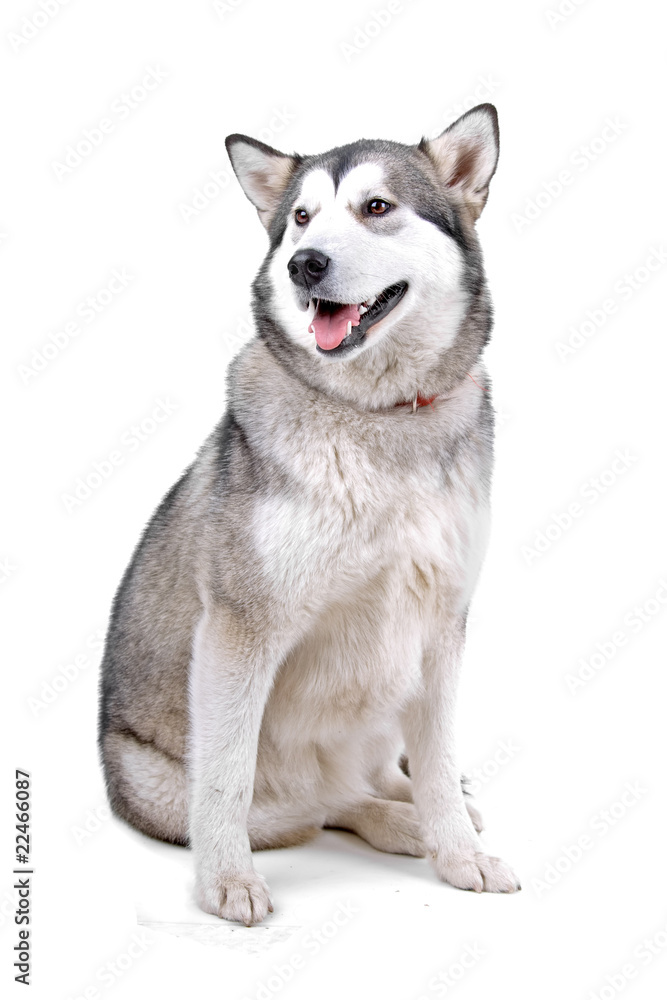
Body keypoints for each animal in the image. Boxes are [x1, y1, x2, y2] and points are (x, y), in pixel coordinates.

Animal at [98, 105, 520, 924]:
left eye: (376, 207)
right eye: (299, 218)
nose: (306, 265)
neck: (377, 420)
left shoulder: (443, 622)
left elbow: (437, 754)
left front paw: (458, 851)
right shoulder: (241, 628)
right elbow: (226, 779)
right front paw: (225, 882)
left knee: (372, 776)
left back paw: (418, 805)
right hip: (167, 782)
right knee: (316, 806)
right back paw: (393, 822)